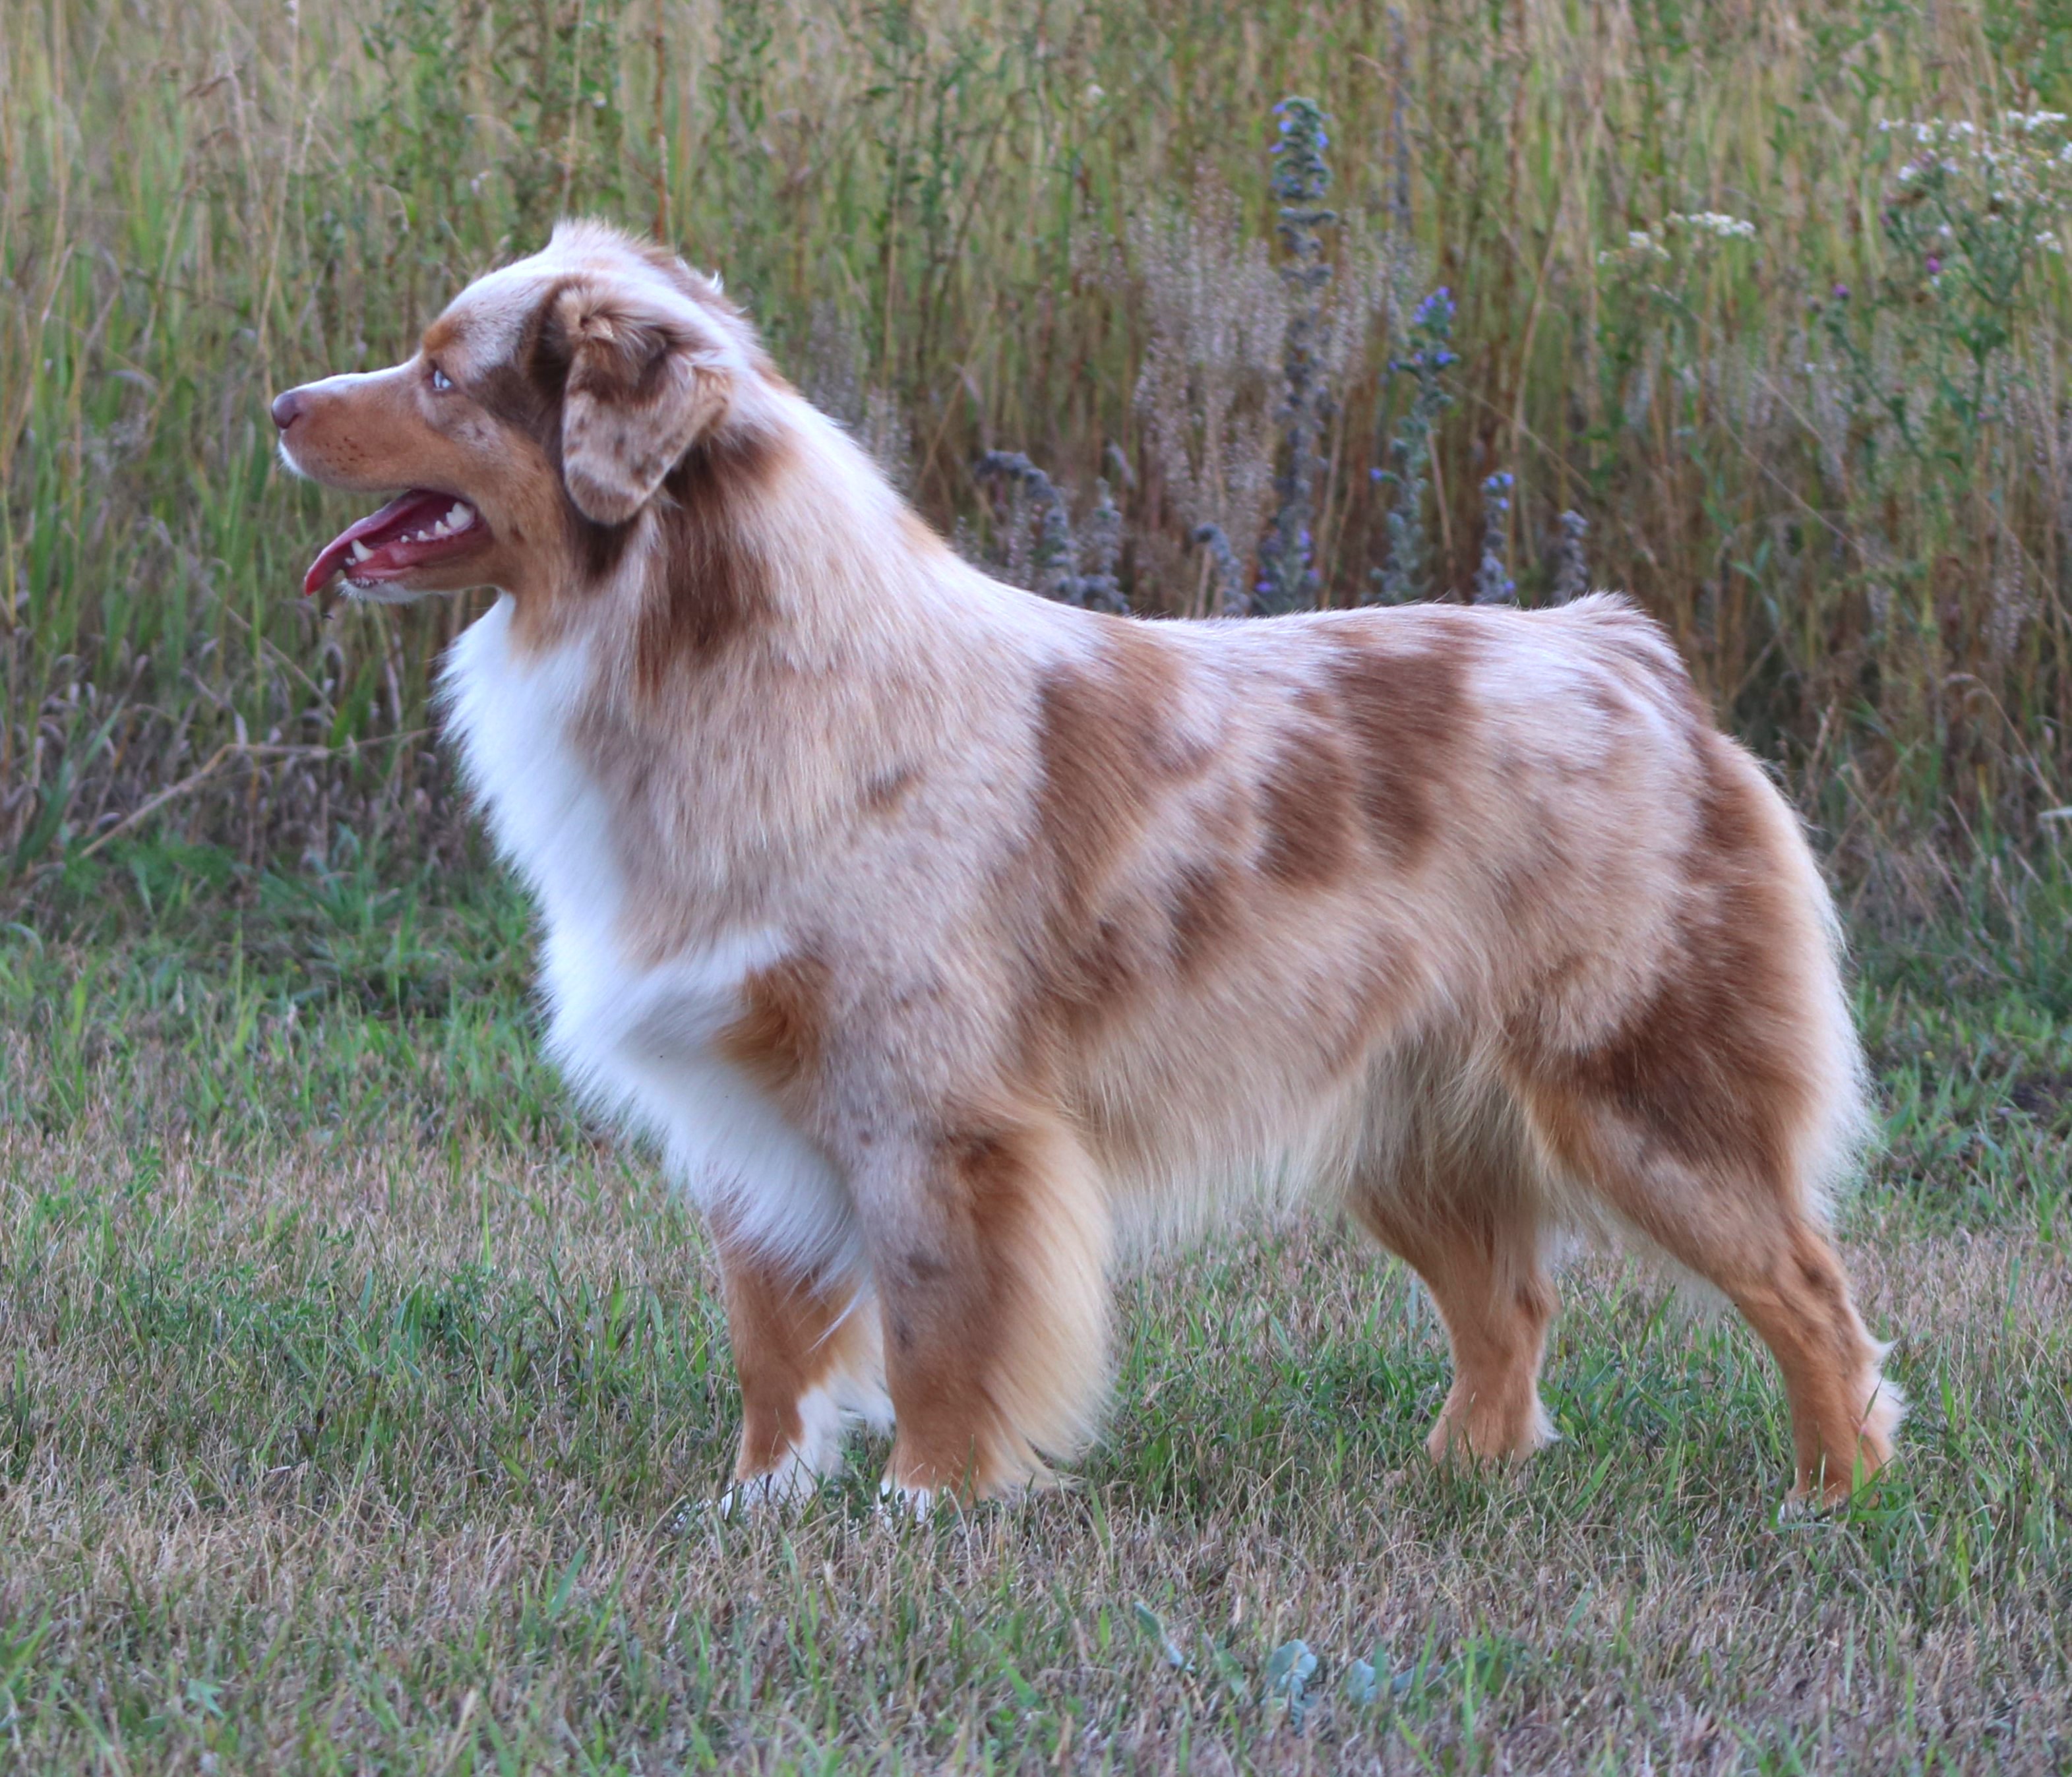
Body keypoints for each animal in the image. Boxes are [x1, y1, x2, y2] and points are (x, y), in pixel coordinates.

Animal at [271, 214, 1898, 1499]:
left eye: (440, 376)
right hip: (1408, 1118)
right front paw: (756, 1506)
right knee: (1510, 1305)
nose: (282, 402)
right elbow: (771, 1339)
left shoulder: (928, 1116)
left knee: (1806, 1290)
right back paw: (1454, 1482)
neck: (720, 664)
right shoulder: (746, 1113)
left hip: (1641, 1092)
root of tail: (1631, 658)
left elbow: (935, 1332)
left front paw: (927, 1506)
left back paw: (1829, 1495)